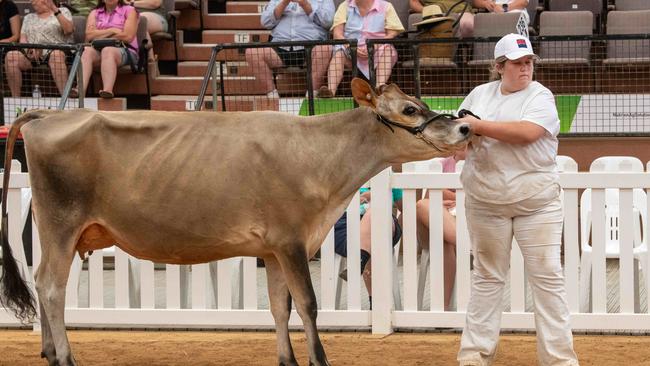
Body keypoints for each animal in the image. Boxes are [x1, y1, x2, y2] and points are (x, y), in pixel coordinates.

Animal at [0, 78, 468, 366]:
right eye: (410, 109)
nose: (464, 127)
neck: (318, 152)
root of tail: (48, 115)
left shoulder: (274, 248)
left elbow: (280, 307)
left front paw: (287, 358)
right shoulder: (292, 239)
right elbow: (308, 304)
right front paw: (319, 358)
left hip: (53, 228)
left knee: (41, 280)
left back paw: (48, 351)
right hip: (61, 222)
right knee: (51, 286)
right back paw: (65, 356)